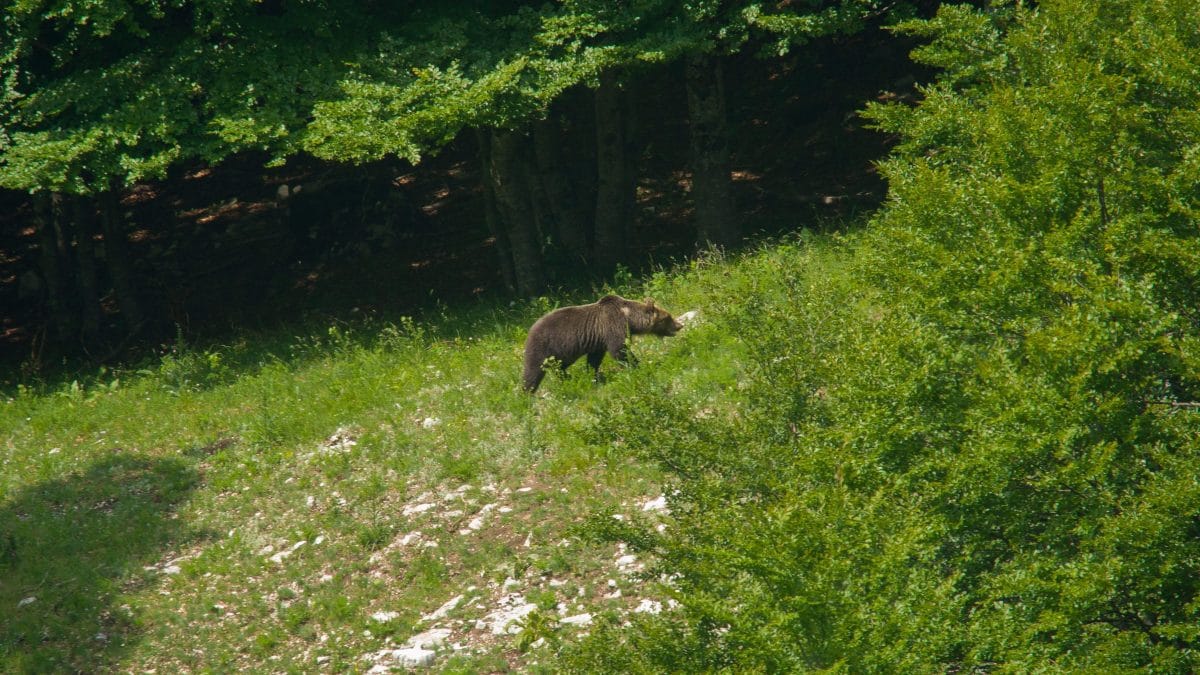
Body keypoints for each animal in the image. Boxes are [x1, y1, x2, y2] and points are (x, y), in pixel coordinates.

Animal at [522, 295, 683, 392]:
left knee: (559, 366)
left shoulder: (598, 341)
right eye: (668, 317)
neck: (629, 317)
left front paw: (593, 376)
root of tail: (529, 330)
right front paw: (638, 365)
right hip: (543, 346)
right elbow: (620, 350)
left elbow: (594, 359)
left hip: (560, 353)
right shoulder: (613, 326)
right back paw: (527, 392)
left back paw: (567, 378)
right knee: (533, 370)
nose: (679, 325)